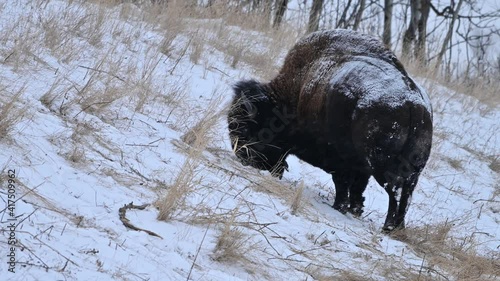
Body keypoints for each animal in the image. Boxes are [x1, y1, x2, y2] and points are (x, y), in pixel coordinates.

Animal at [229, 28, 432, 231]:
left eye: (246, 128)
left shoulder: (341, 161)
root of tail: (413, 104)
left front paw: (339, 207)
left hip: (384, 167)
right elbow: (357, 187)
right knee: (406, 193)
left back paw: (388, 226)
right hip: (411, 170)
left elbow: (343, 183)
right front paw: (354, 209)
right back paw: (397, 227)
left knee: (395, 191)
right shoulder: (360, 167)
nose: (241, 155)